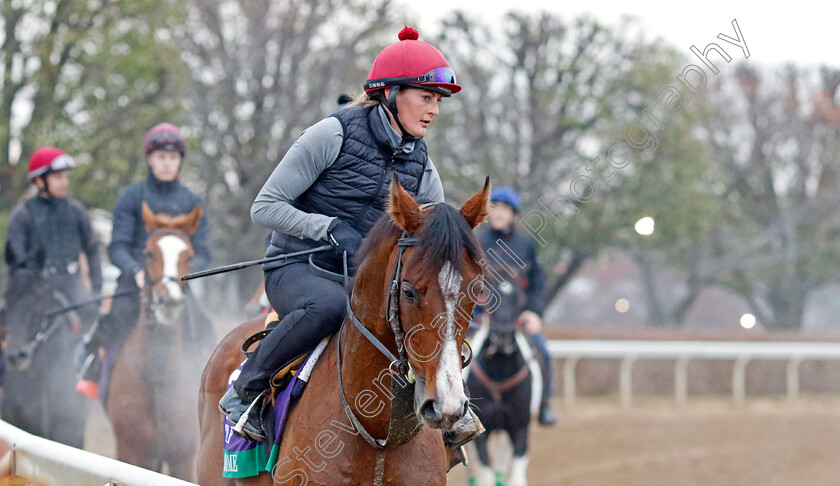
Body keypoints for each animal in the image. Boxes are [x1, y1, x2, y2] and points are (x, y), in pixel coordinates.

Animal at [106, 202, 205, 482]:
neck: (156, 376)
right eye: (148, 253)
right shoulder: (131, 452)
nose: (167, 300)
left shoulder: (182, 456)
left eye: (189, 256)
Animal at [462, 270, 540, 486]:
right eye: (485, 294)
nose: (502, 335)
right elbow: (484, 473)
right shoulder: (481, 431)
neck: (499, 374)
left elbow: (516, 476)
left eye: (520, 299)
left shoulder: (520, 426)